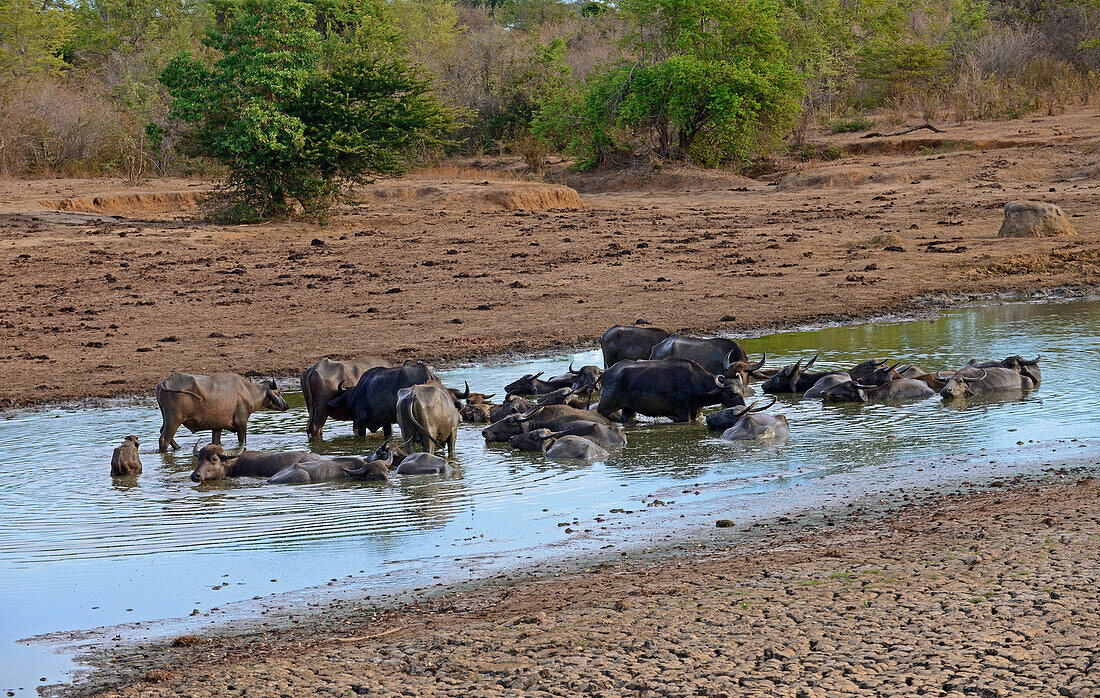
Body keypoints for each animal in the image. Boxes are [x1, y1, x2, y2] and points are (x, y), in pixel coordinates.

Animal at [159, 371, 290, 452]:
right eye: (279, 392)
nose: (286, 405)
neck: (247, 391)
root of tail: (164, 382)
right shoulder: (241, 421)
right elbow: (242, 441)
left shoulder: (217, 426)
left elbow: (216, 442)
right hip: (174, 419)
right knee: (164, 439)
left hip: (166, 418)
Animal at [594, 358, 748, 424]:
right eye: (732, 393)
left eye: (742, 392)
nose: (743, 408)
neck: (695, 382)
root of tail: (606, 372)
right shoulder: (683, 412)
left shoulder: (696, 411)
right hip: (606, 407)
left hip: (629, 410)